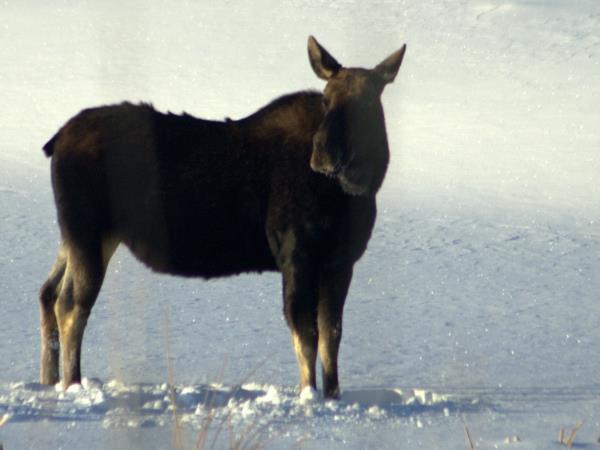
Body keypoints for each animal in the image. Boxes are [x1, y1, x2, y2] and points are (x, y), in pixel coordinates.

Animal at [39, 37, 406, 400]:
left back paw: (49, 380)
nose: (324, 154)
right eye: (326, 99)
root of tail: (55, 141)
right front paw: (309, 396)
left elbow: (332, 336)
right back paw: (72, 384)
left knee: (48, 292)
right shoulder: (297, 255)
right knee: (71, 305)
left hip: (78, 236)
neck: (352, 194)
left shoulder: (340, 262)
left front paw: (332, 396)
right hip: (88, 232)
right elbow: (306, 334)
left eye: (366, 104)